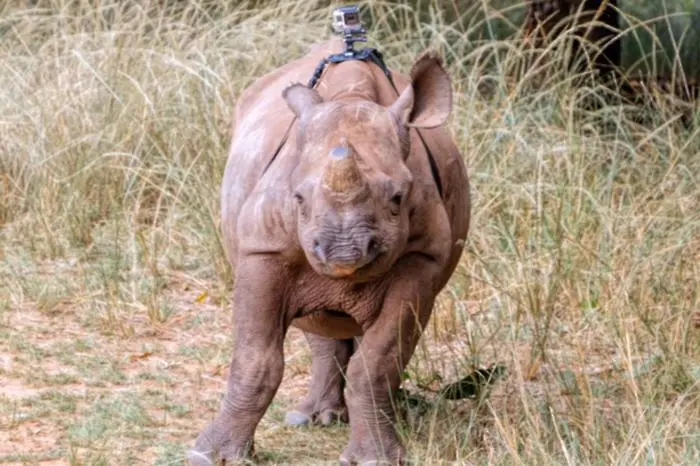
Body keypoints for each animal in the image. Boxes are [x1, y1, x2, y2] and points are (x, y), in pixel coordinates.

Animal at [187, 38, 470, 464]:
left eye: (398, 198)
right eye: (298, 198)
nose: (344, 251)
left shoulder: (421, 258)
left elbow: (379, 361)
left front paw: (377, 457)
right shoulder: (263, 250)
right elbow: (255, 357)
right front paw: (212, 454)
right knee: (318, 320)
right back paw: (311, 419)